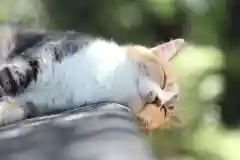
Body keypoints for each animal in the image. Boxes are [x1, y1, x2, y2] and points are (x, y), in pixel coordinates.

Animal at [0, 23, 184, 127]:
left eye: (164, 110)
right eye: (164, 80)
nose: (160, 100)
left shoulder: (36, 103)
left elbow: (14, 108)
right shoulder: (33, 61)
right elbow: (9, 81)